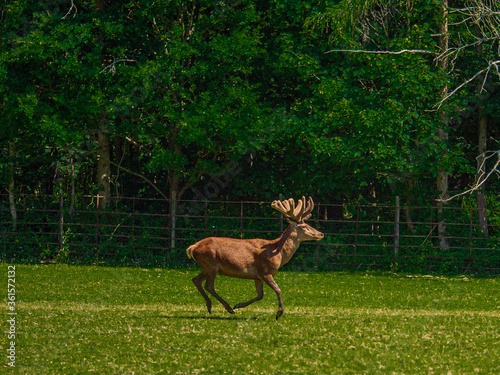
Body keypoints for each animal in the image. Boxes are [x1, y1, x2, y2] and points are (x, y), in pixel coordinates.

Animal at [186, 197, 322, 320]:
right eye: (304, 226)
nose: (321, 234)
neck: (278, 252)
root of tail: (193, 247)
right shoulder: (264, 271)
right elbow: (278, 290)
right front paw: (279, 313)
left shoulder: (257, 277)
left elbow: (260, 295)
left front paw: (239, 305)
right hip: (211, 264)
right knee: (209, 285)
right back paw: (228, 308)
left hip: (207, 267)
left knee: (196, 280)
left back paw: (211, 306)